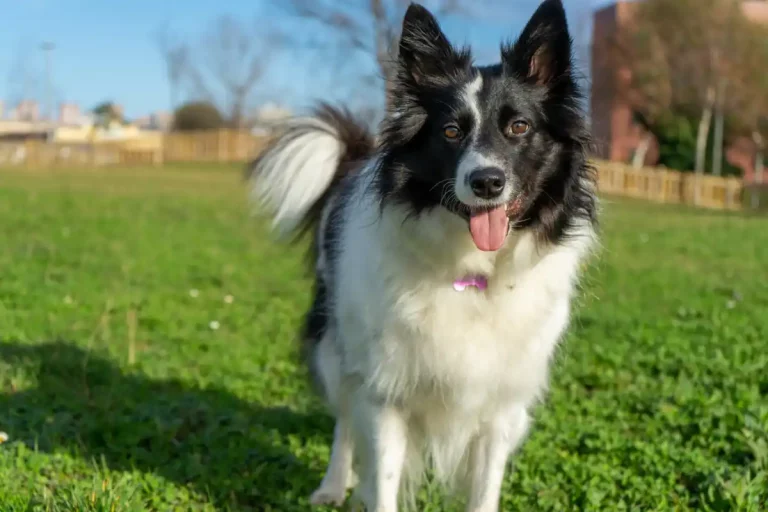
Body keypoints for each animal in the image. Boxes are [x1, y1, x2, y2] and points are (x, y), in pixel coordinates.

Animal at [249, 2, 596, 510]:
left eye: (519, 127)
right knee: (345, 421)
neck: (472, 272)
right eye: (451, 131)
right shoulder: (386, 390)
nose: (486, 182)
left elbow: (485, 488)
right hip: (338, 345)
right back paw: (332, 485)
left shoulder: (501, 404)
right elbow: (383, 476)